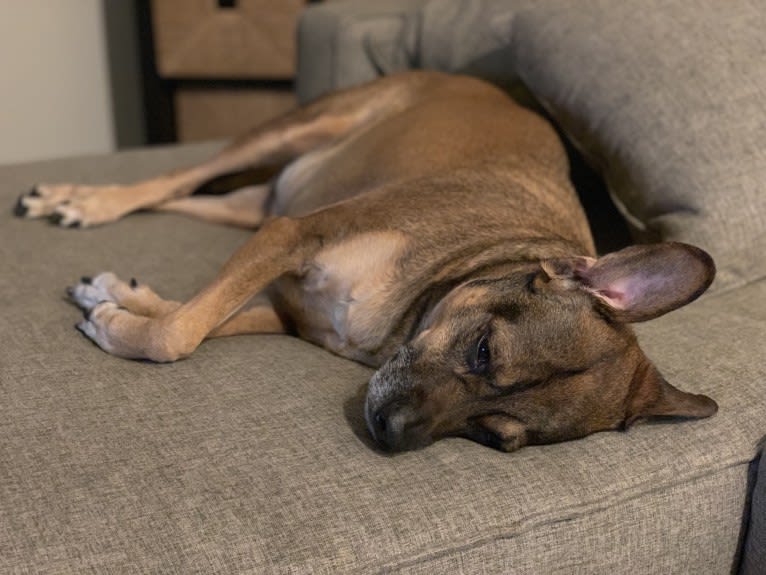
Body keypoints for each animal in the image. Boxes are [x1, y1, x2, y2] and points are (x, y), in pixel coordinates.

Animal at [13, 72, 720, 452]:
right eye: (484, 351)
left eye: (495, 436)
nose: (391, 433)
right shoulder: (294, 235)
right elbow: (179, 334)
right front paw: (113, 323)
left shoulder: (284, 305)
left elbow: (191, 317)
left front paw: (113, 299)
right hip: (300, 130)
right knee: (176, 176)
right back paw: (84, 201)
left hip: (253, 205)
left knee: (186, 197)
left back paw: (78, 206)